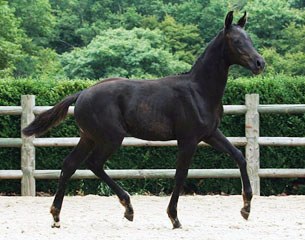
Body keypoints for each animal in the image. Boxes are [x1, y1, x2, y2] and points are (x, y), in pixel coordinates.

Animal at [22, 11, 264, 229]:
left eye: (250, 38)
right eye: (236, 41)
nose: (260, 63)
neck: (199, 90)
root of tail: (82, 93)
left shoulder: (210, 134)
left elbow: (239, 156)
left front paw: (246, 208)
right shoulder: (188, 140)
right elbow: (181, 175)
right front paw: (174, 217)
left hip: (89, 137)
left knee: (69, 165)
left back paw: (56, 216)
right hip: (110, 138)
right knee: (94, 163)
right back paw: (127, 207)